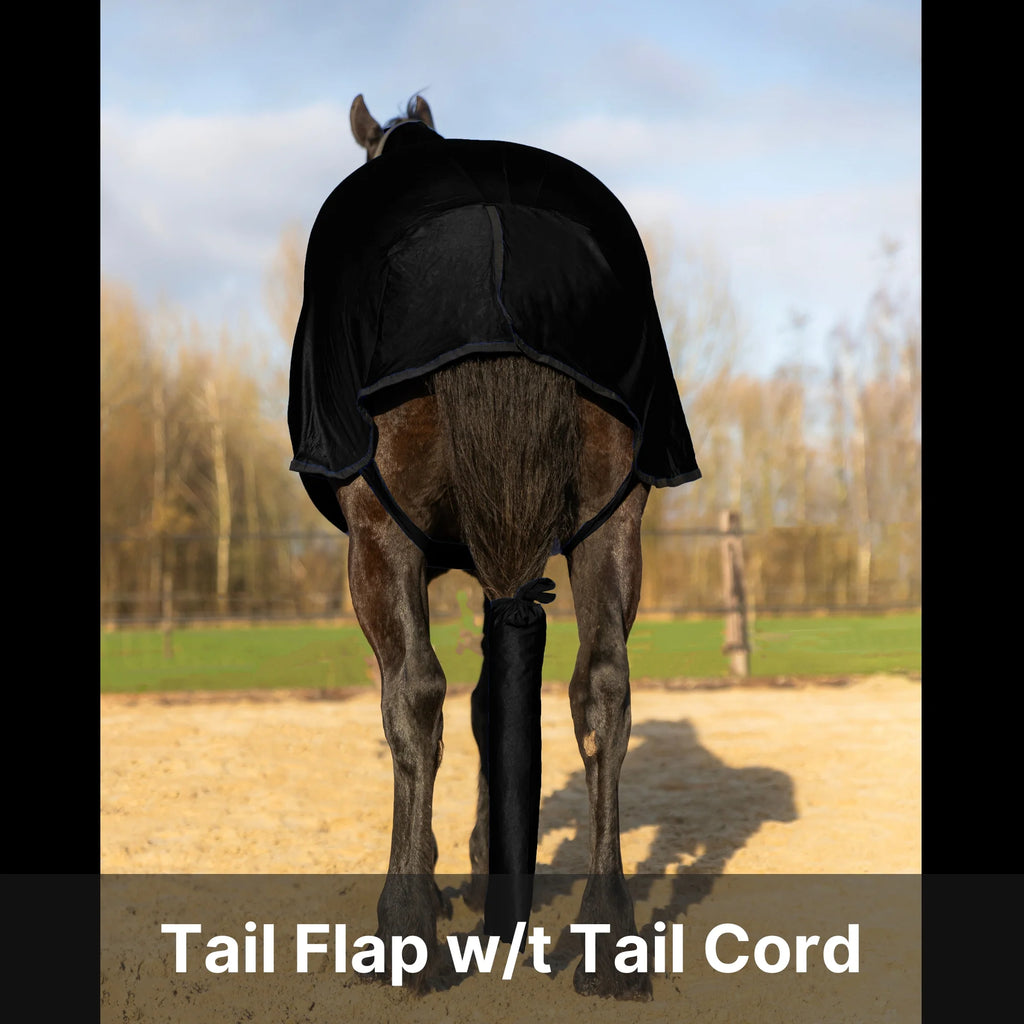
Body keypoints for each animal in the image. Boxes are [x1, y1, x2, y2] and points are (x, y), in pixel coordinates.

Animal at [288, 93, 701, 999]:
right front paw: (488, 871)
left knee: (412, 694)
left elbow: (432, 705)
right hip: (612, 524)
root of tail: (500, 240)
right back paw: (608, 939)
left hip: (379, 540)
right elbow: (492, 705)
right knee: (603, 690)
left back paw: (404, 931)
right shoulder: (509, 566)